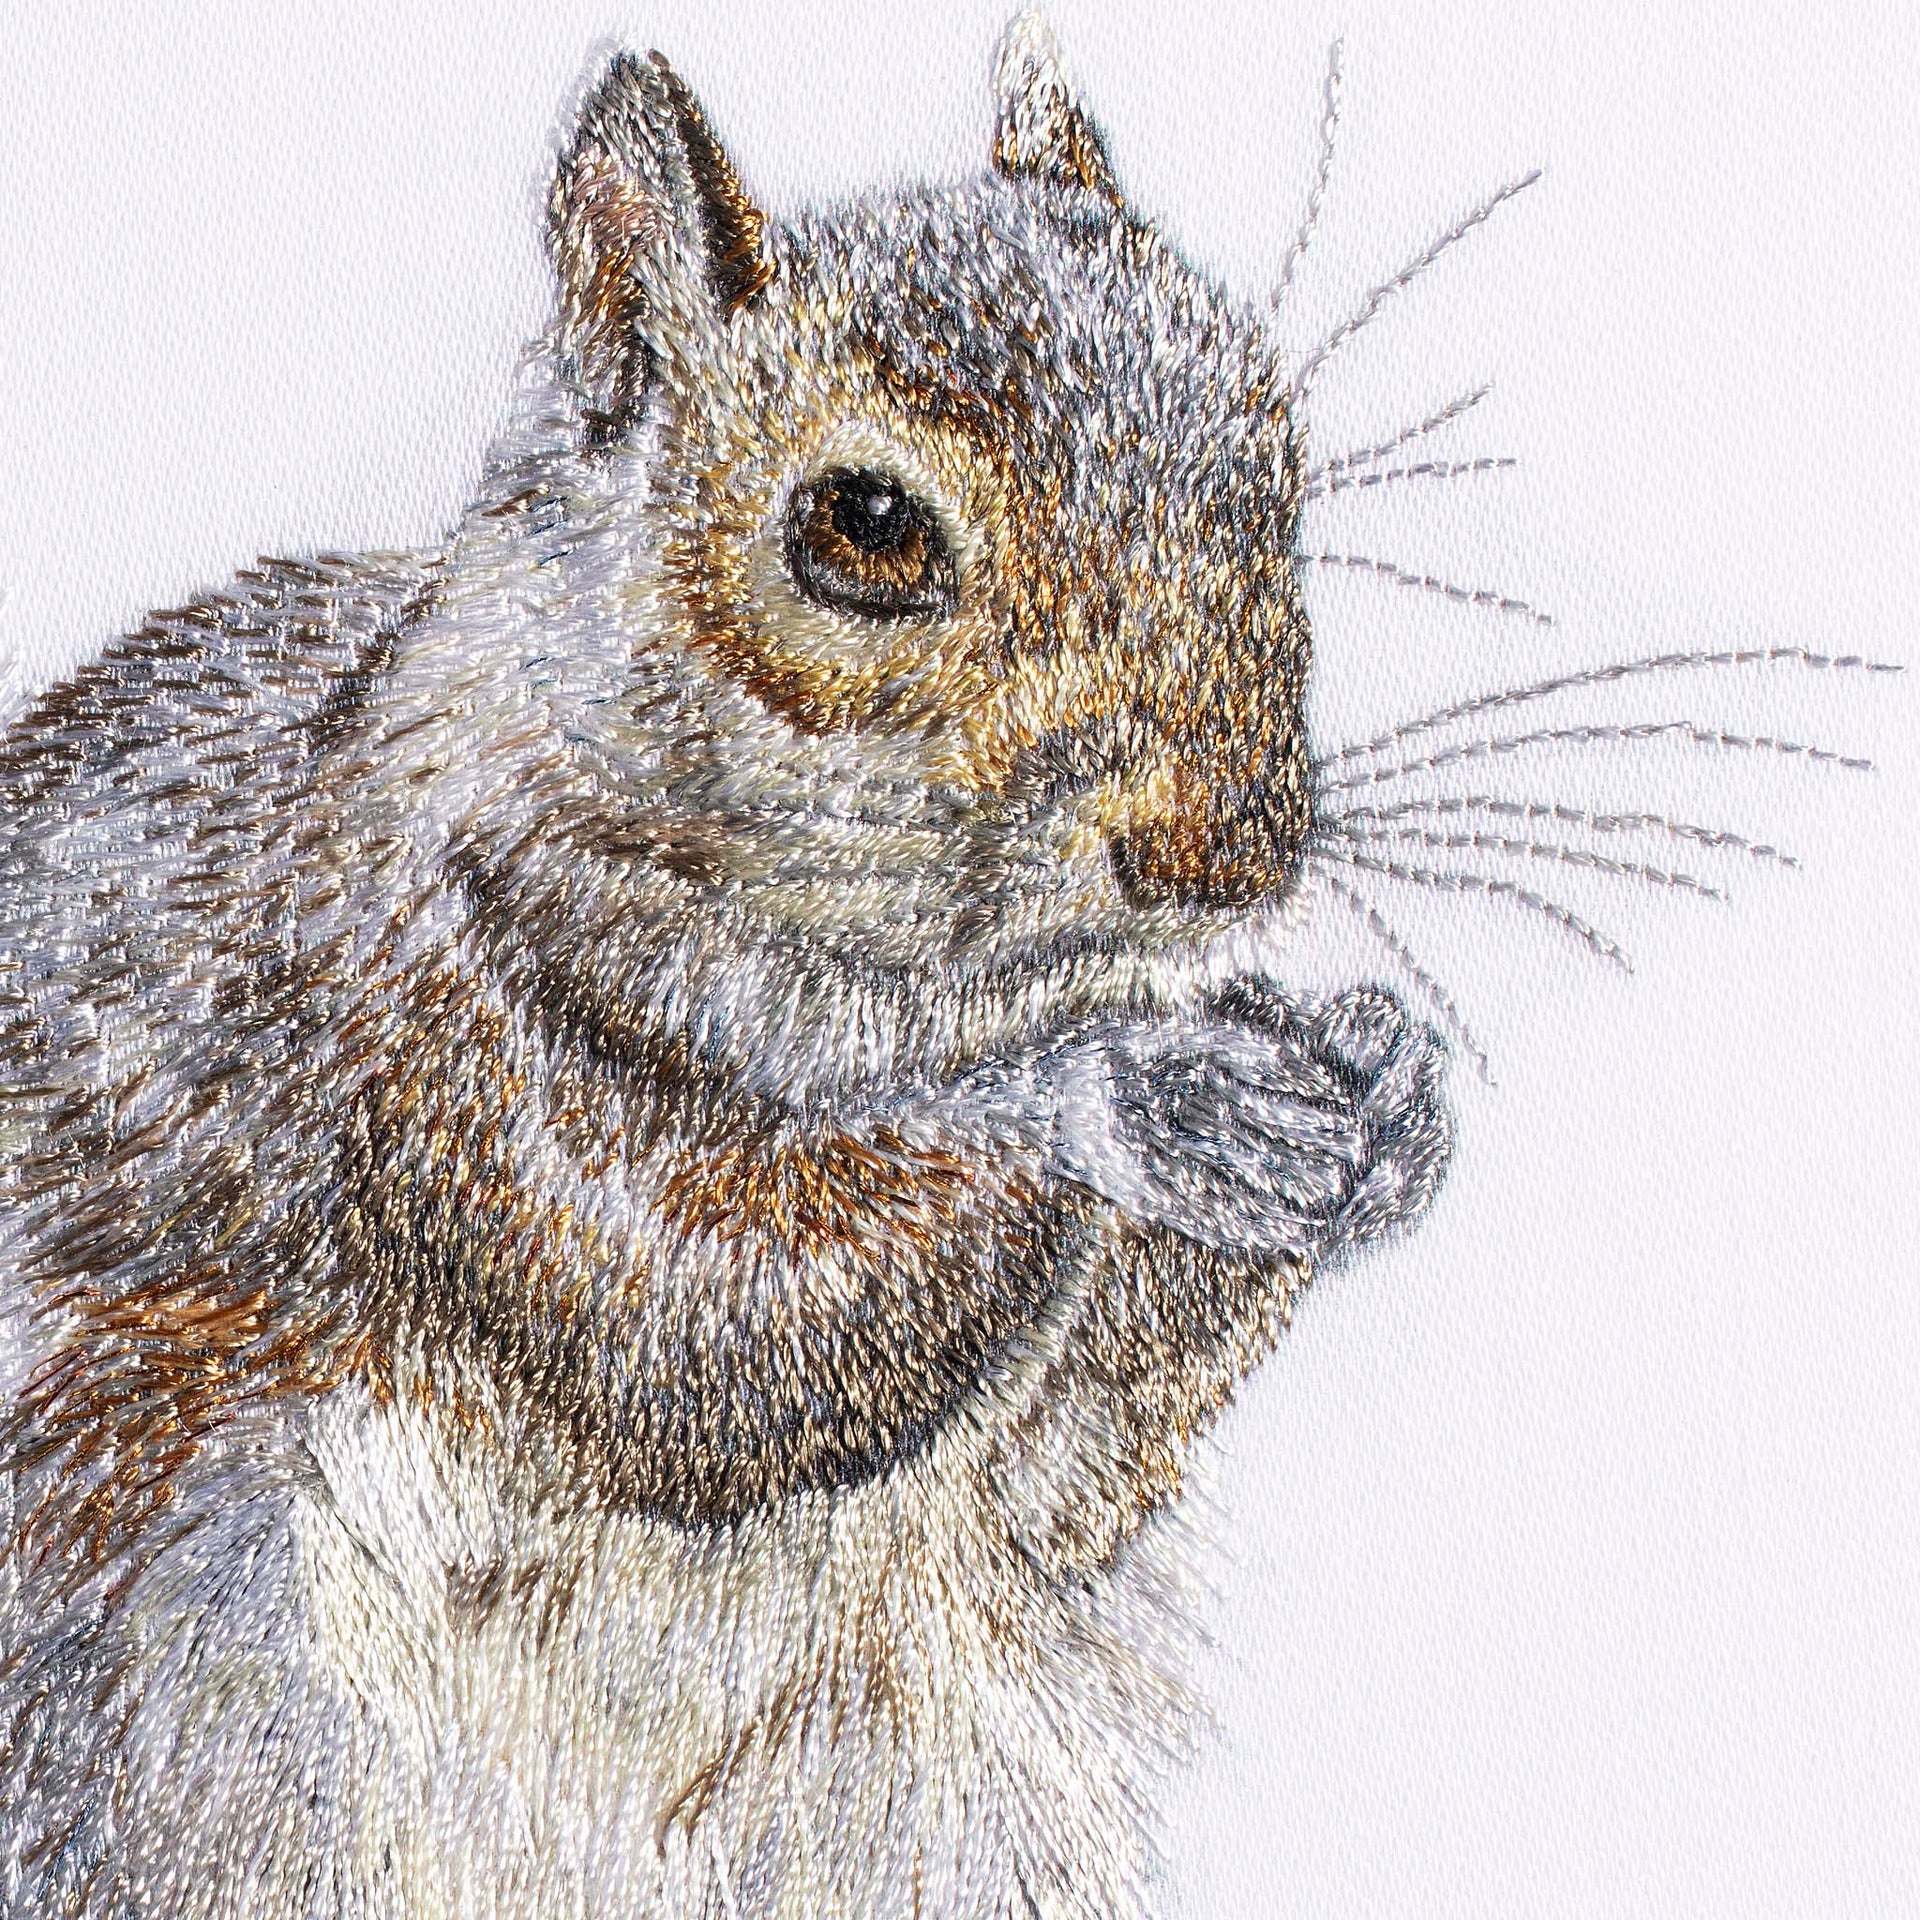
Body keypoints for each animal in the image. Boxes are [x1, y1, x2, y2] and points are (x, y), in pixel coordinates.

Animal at [0, 16, 1451, 1919]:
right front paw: (1121, 1092)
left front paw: (1387, 1089)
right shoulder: (421, 1037)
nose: (1235, 855)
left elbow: (1071, 1475)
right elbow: (708, 1327)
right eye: (866, 523)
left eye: (1268, 440)